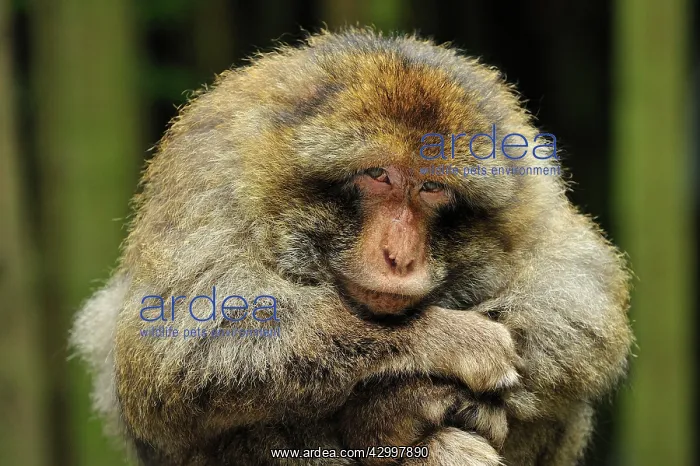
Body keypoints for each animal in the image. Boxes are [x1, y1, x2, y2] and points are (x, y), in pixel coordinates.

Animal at [71, 28, 633, 466]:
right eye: (377, 175)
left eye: (433, 188)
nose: (400, 256)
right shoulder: (214, 171)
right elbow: (178, 340)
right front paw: (424, 370)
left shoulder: (530, 186)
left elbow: (576, 294)